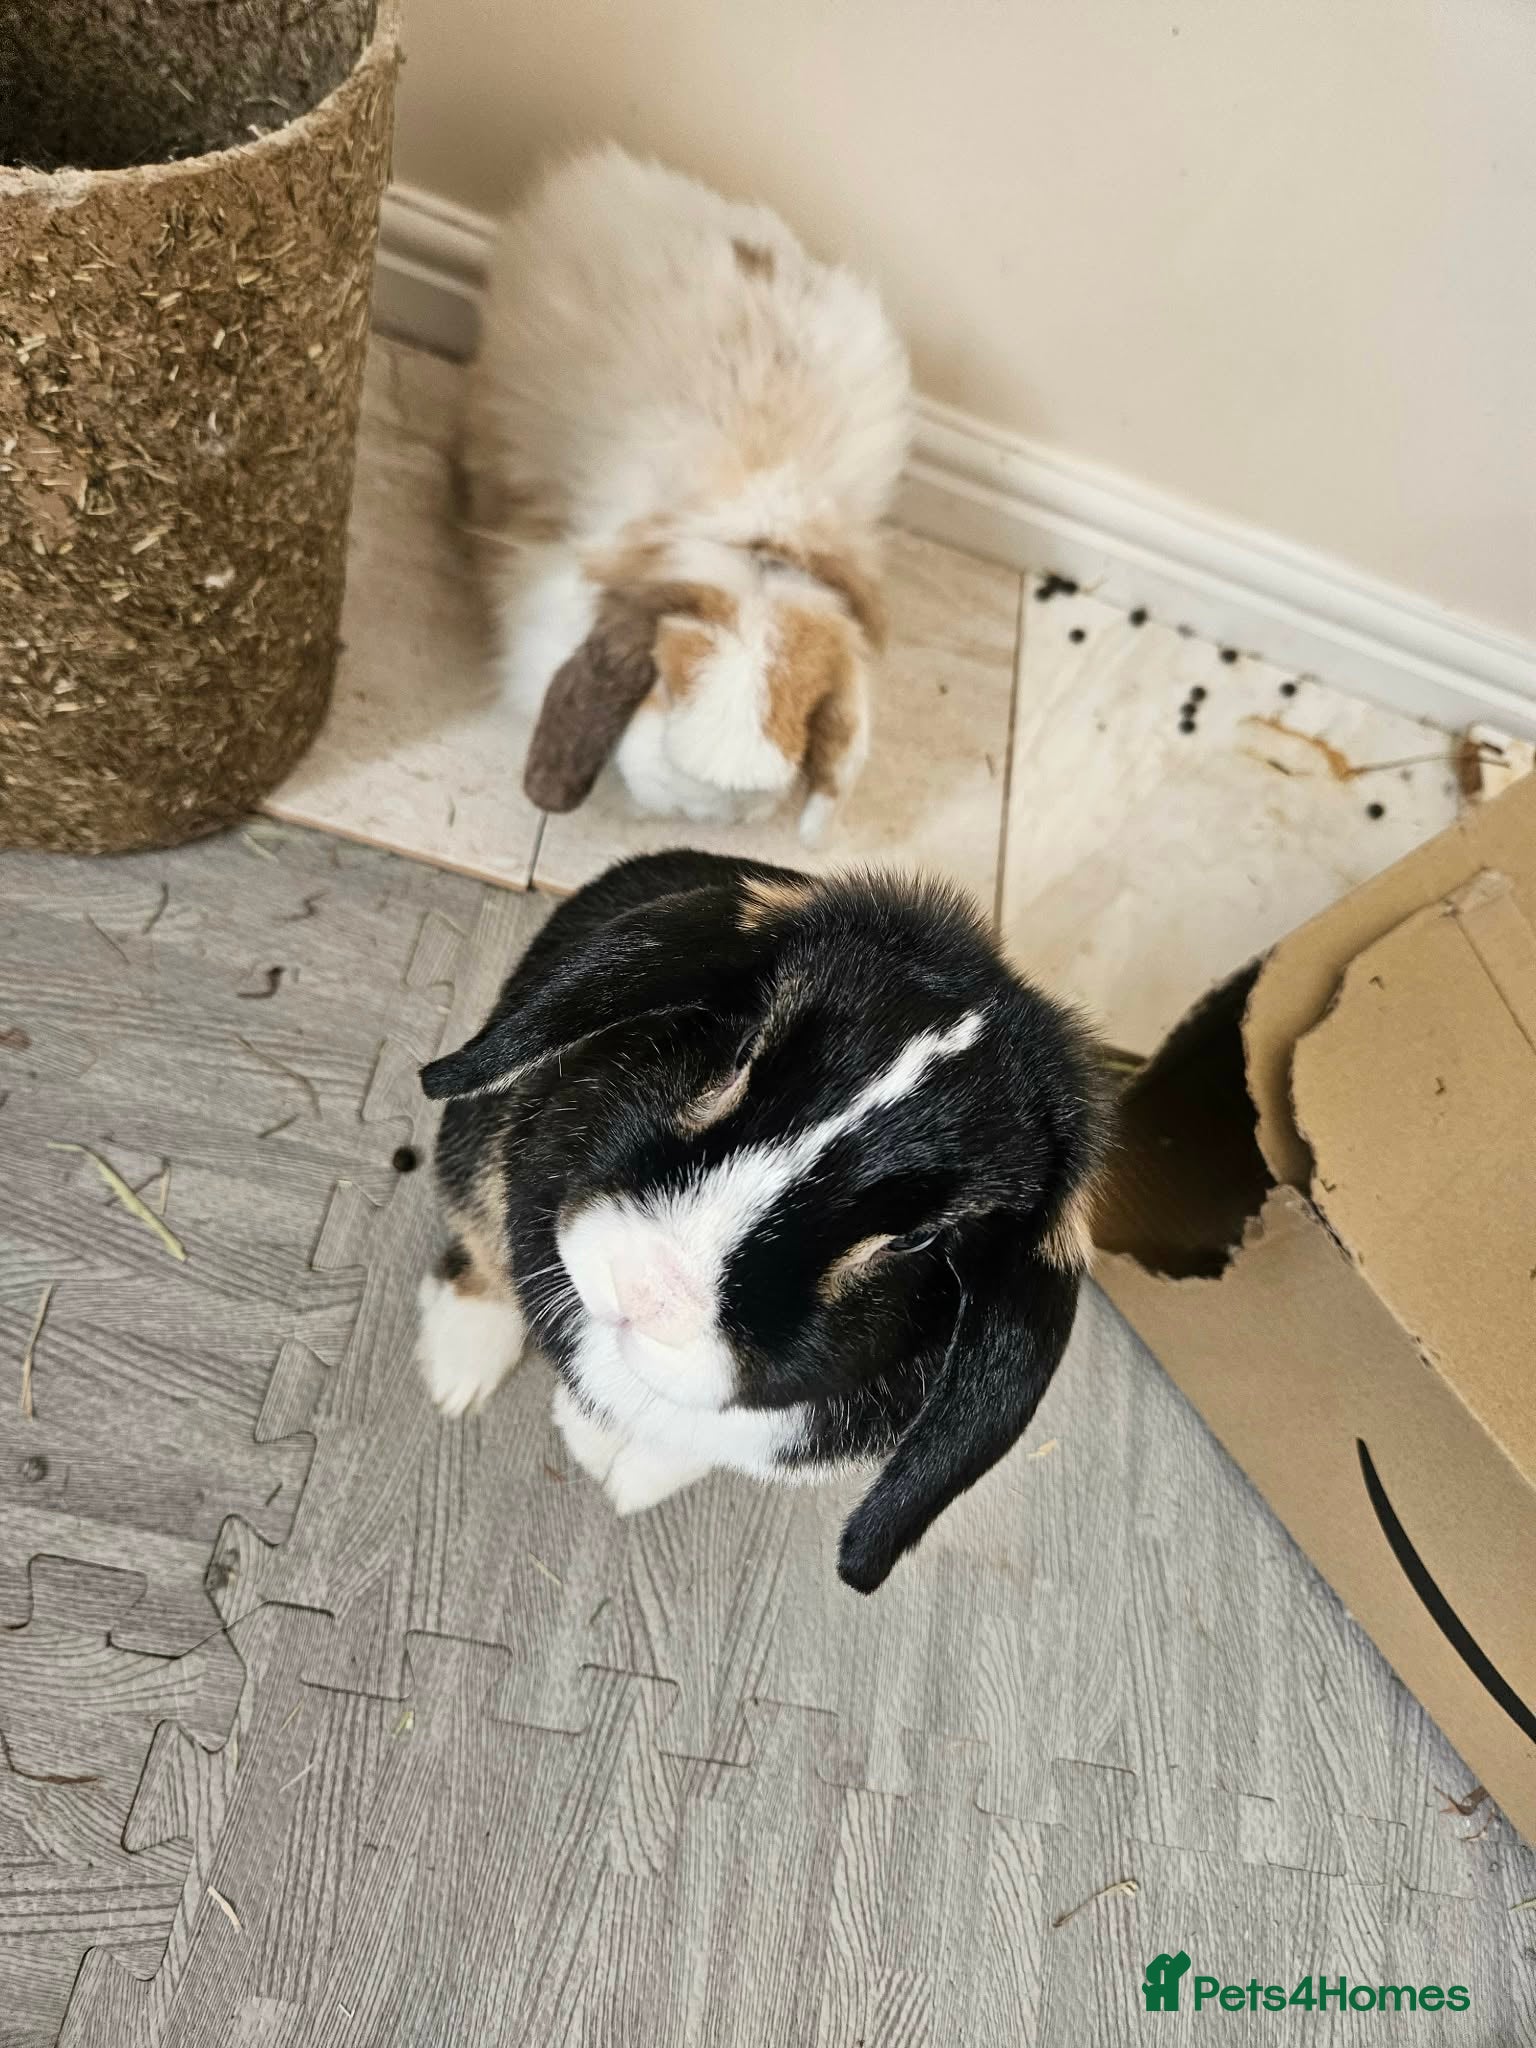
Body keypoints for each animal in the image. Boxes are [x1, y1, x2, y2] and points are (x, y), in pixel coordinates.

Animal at [414, 848, 1110, 1594]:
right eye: (743, 1049)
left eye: (918, 1239)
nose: (647, 1289)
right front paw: (588, 1443)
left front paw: (628, 1483)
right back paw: (458, 1375)